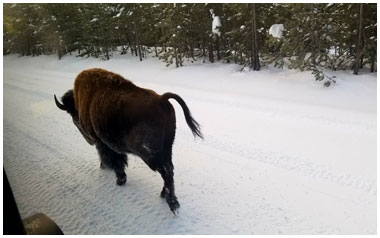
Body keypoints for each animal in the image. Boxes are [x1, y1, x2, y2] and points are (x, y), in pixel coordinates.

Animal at [55, 67, 203, 214]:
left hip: (149, 153)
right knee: (169, 169)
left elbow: (113, 160)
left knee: (166, 171)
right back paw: (164, 195)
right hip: (167, 148)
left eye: (72, 114)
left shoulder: (102, 143)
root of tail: (162, 99)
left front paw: (118, 179)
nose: (88, 140)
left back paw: (172, 204)